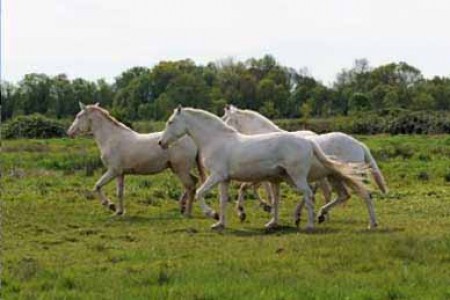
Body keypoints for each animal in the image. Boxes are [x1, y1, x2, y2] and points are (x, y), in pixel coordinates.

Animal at [67, 102, 204, 216]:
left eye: (78, 116)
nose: (69, 132)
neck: (111, 138)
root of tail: (192, 139)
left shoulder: (113, 171)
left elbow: (97, 186)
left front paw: (109, 205)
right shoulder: (120, 174)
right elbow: (119, 192)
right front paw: (119, 211)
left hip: (181, 170)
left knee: (191, 185)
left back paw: (187, 212)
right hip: (179, 169)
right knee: (193, 182)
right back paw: (182, 207)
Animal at [157, 106, 372, 231]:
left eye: (170, 122)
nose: (161, 143)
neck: (217, 140)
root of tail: (308, 143)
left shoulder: (216, 176)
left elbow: (200, 192)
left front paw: (213, 214)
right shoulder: (225, 179)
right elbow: (223, 200)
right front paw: (220, 222)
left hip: (299, 177)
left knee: (310, 194)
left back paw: (310, 224)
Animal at [221, 104, 386, 221]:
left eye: (225, 119)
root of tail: (359, 144)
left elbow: (245, 187)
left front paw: (243, 212)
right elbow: (256, 189)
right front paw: (266, 208)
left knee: (362, 194)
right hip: (332, 177)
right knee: (336, 195)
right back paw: (318, 215)